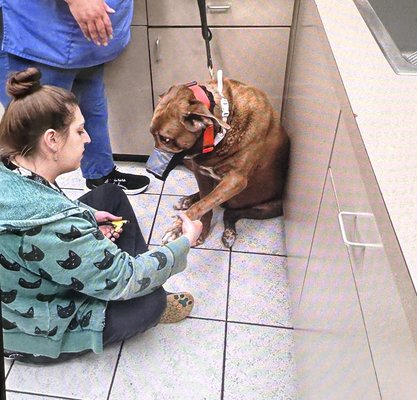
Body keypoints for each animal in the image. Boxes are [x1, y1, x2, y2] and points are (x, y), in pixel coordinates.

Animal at [150, 77, 290, 247]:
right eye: (152, 134)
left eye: (166, 139)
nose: (149, 171)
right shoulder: (201, 172)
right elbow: (205, 204)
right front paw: (200, 231)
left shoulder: (235, 180)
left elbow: (202, 205)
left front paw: (178, 227)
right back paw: (187, 200)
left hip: (274, 206)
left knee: (230, 213)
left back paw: (229, 232)